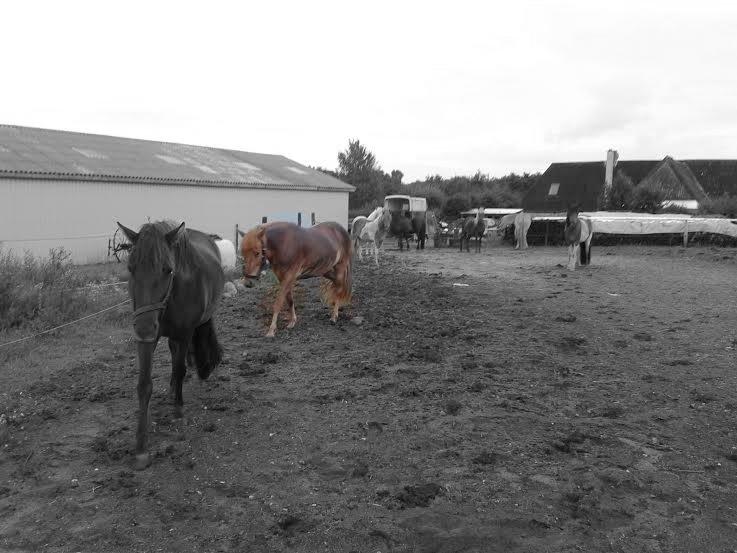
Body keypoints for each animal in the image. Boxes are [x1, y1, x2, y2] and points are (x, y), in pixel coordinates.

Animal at [116, 218, 226, 468]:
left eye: (167, 269)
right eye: (131, 268)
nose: (144, 328)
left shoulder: (184, 334)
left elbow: (180, 369)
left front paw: (178, 411)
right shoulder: (148, 339)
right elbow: (144, 385)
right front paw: (141, 448)